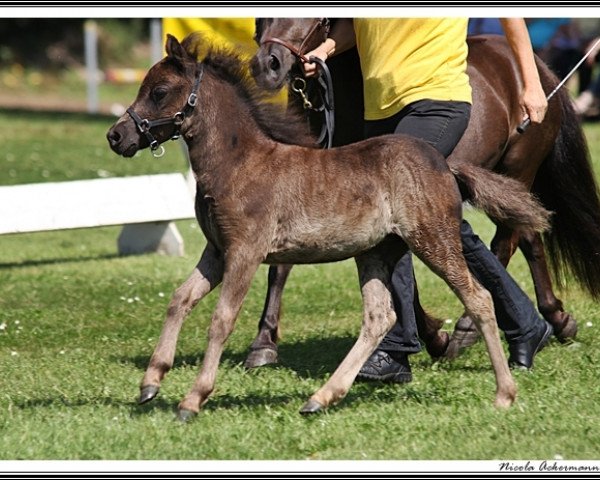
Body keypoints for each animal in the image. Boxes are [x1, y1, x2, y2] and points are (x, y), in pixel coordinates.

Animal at [105, 33, 552, 418]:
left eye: (159, 92)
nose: (116, 136)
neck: (238, 163)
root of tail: (443, 164)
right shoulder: (216, 251)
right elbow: (179, 299)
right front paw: (150, 383)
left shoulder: (246, 251)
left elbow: (222, 319)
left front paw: (193, 399)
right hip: (377, 251)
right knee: (379, 317)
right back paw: (321, 397)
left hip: (433, 239)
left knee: (478, 298)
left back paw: (505, 392)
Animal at [245, 16, 600, 366]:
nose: (267, 65)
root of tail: (538, 72)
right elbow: (282, 264)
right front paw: (263, 344)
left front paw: (434, 337)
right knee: (528, 237)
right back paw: (556, 321)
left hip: (518, 170)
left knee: (504, 243)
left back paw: (471, 329)